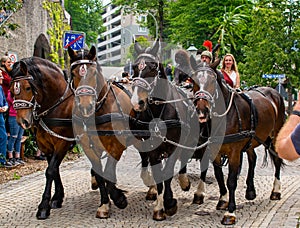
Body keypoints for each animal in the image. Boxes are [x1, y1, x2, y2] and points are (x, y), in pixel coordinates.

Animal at [175, 49, 284, 225]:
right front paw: (223, 200)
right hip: (252, 139)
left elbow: (231, 180)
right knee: (252, 159)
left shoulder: (234, 152)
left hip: (274, 135)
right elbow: (219, 176)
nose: (201, 110)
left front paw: (230, 212)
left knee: (277, 159)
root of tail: (273, 92)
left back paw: (276, 191)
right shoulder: (214, 150)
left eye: (212, 81)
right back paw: (250, 190)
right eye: (194, 81)